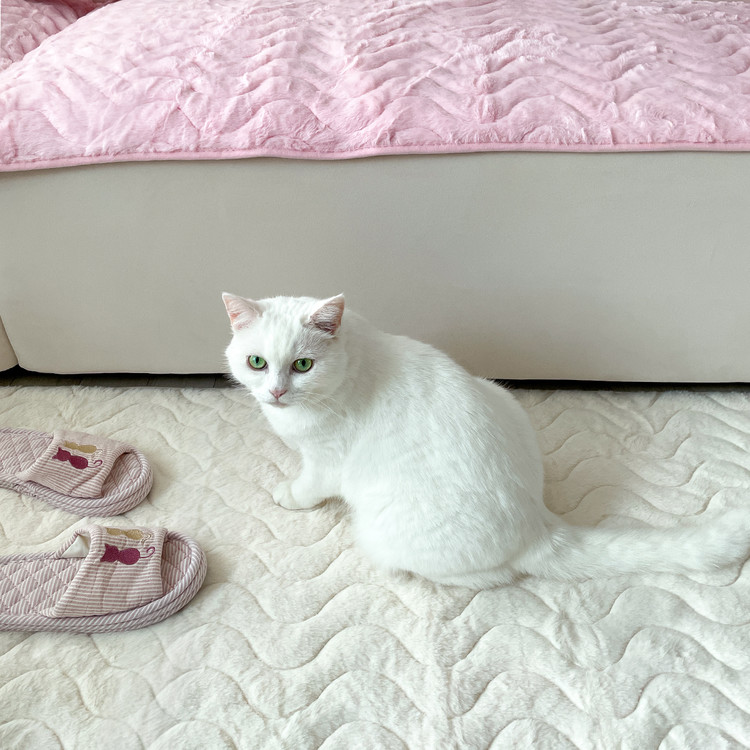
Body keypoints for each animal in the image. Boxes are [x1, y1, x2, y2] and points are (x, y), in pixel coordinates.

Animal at [223, 292, 749, 587]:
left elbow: (307, 486)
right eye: (257, 362)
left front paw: (287, 495)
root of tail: (539, 524)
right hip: (501, 393)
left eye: (302, 365)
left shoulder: (325, 462)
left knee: (492, 576)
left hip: (377, 531)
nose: (275, 391)